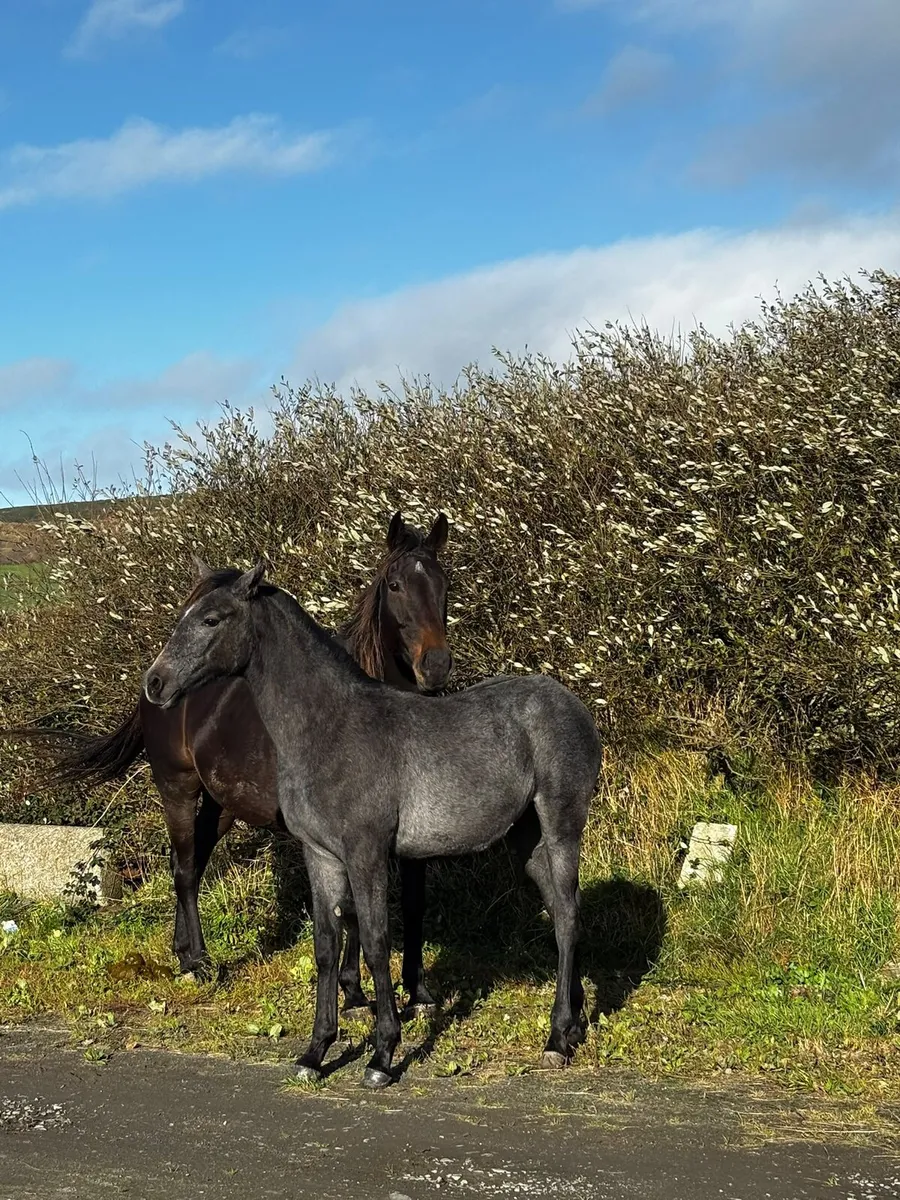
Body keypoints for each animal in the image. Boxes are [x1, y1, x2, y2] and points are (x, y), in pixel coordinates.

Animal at [19, 512, 451, 1011]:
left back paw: (181, 949)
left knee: (190, 861)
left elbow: (412, 902)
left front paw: (415, 991)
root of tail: (150, 690)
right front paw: (354, 990)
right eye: (395, 585)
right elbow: (352, 913)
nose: (435, 667)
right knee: (185, 868)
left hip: (221, 801)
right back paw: (198, 962)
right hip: (178, 787)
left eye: (443, 582)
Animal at [143, 561, 602, 1088]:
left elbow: (377, 943)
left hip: (561, 824)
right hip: (528, 839)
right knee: (563, 913)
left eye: (212, 619)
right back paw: (571, 1025)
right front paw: (315, 1052)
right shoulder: (320, 855)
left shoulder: (367, 853)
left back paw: (556, 1039)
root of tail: (573, 706)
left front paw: (382, 1055)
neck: (329, 728)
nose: (155, 683)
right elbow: (326, 945)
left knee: (567, 915)